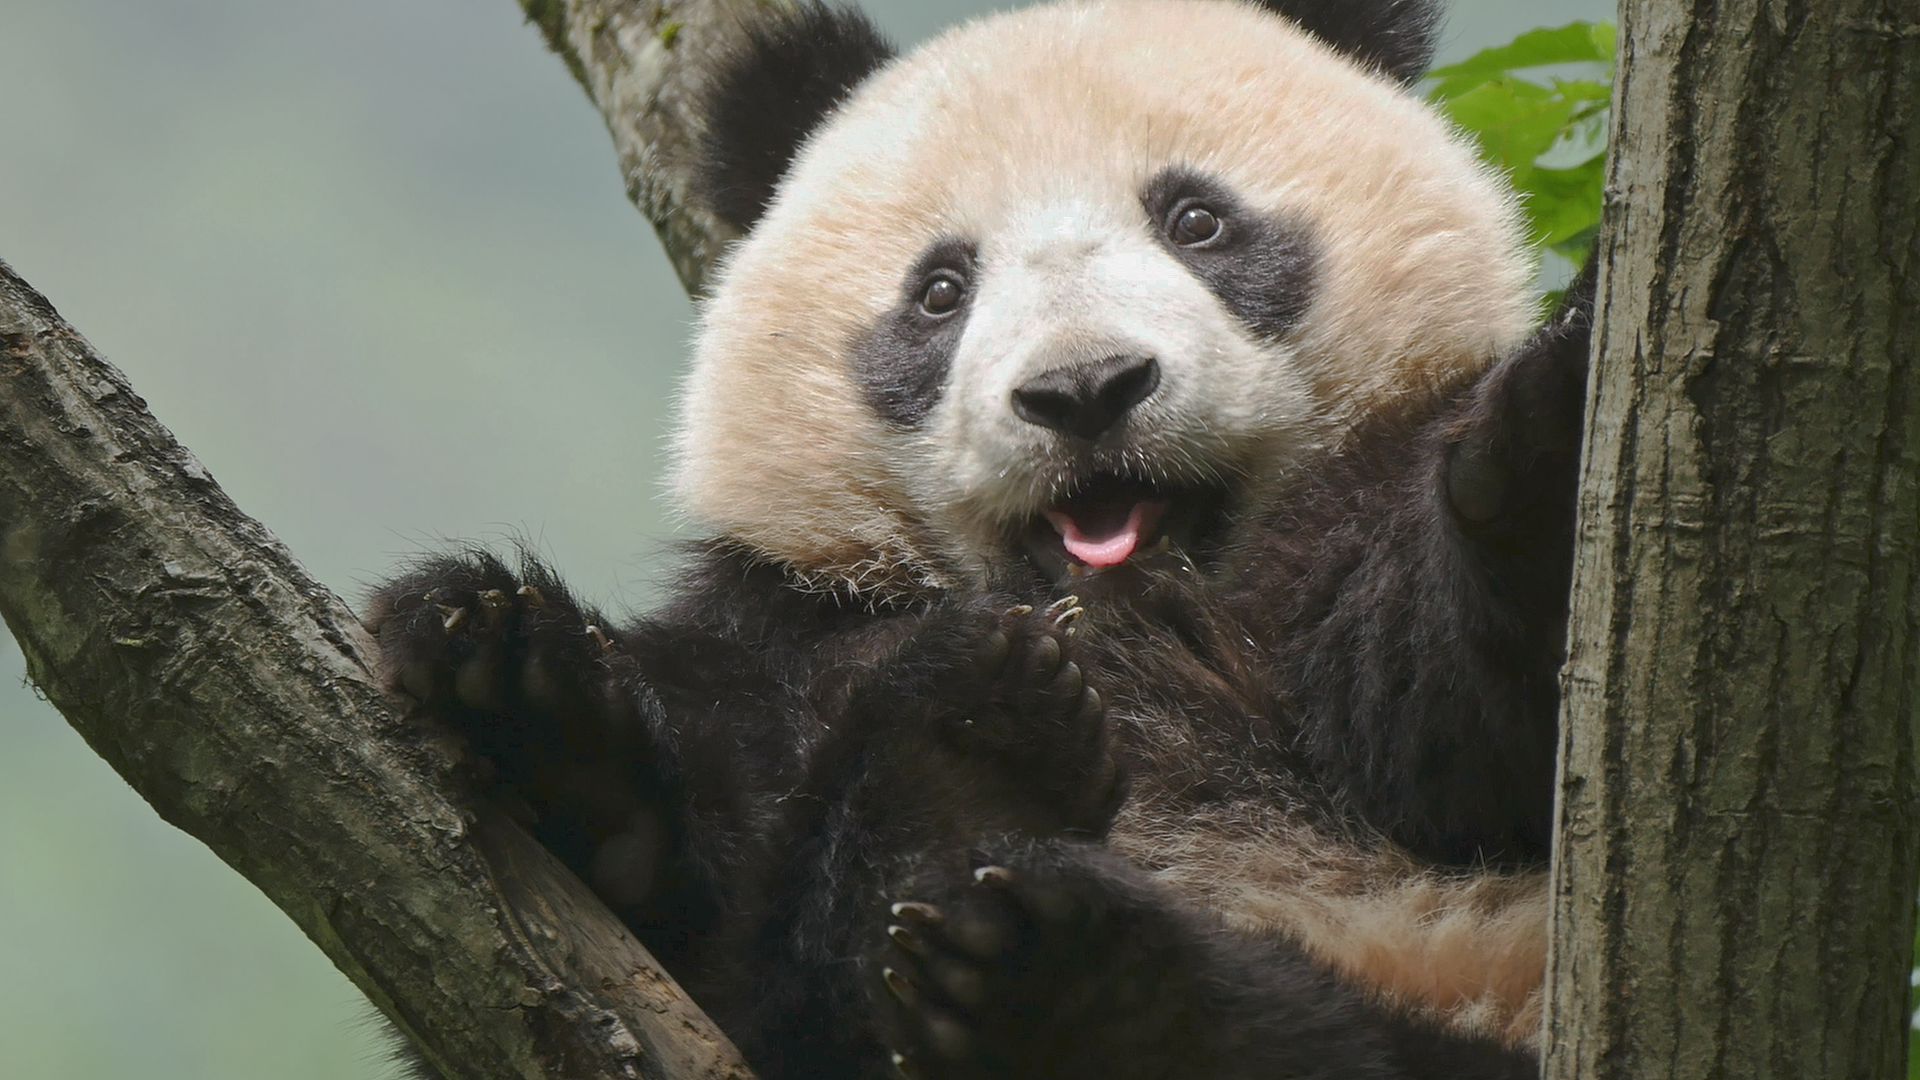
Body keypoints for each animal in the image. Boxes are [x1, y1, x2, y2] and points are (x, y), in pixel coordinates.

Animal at [368, 0, 1592, 1077]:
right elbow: (706, 985)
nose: (1086, 389)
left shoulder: (1361, 495)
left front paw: (1547, 442)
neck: (1120, 608)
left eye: (1196, 221)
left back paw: (1085, 982)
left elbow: (1446, 728)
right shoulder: (794, 632)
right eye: (940, 290)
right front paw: (524, 689)